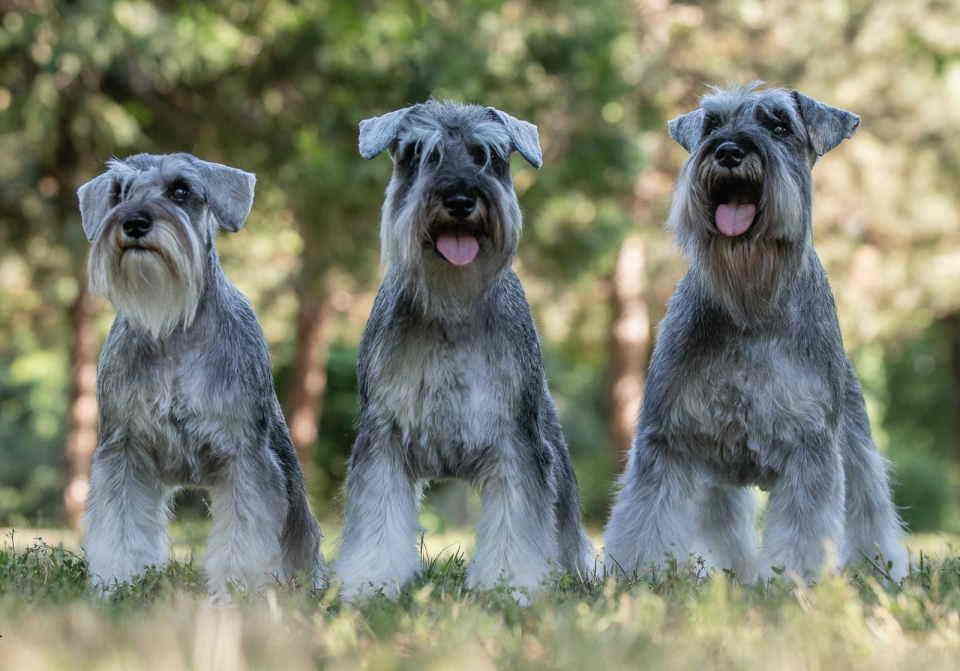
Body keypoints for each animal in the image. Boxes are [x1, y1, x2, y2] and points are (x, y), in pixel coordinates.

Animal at [79, 155, 326, 596]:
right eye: (120, 192)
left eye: (180, 190)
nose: (135, 222)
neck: (172, 329)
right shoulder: (123, 451)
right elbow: (119, 525)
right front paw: (116, 584)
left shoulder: (245, 459)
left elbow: (244, 533)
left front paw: (236, 592)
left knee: (300, 531)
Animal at [336, 101, 592, 604]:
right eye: (419, 153)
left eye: (487, 156)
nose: (459, 200)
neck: (450, 307)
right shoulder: (384, 438)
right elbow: (377, 519)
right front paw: (371, 583)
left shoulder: (518, 444)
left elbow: (516, 524)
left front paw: (508, 586)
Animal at [604, 84, 912, 584]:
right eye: (711, 124)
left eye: (780, 125)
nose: (729, 151)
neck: (750, 305)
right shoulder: (667, 439)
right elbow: (645, 519)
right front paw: (636, 577)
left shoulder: (811, 448)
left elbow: (805, 529)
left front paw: (793, 580)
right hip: (716, 479)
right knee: (724, 525)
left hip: (855, 445)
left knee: (870, 506)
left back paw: (878, 570)